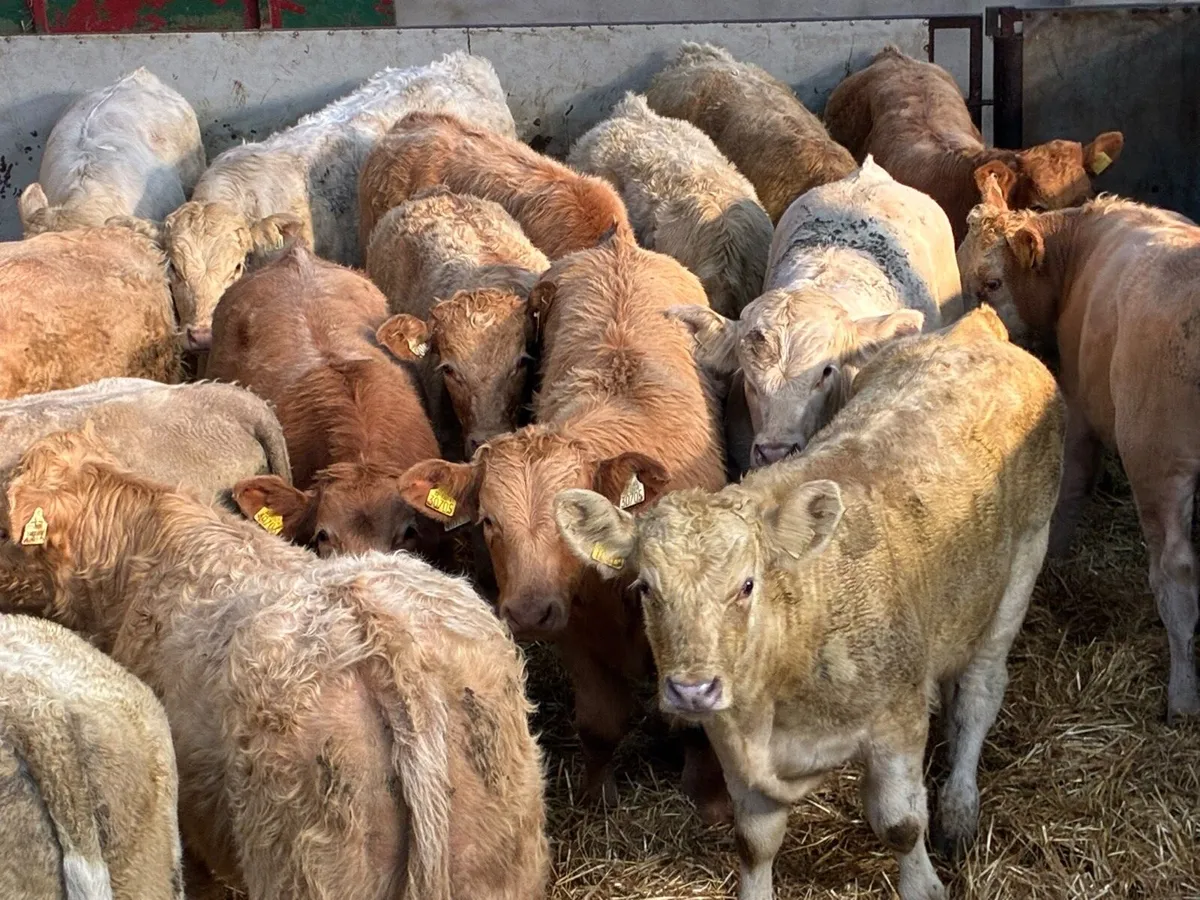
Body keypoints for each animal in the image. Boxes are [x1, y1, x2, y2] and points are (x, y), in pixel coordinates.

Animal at [396, 231, 731, 822]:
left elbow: (697, 728)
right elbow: (599, 725)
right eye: (488, 520)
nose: (529, 611)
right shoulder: (578, 633)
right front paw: (599, 797)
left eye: (574, 520)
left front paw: (709, 804)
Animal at [556, 306, 1065, 900]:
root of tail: (975, 330)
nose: (692, 690)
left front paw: (923, 881)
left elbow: (900, 823)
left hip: (1025, 556)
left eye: (747, 585)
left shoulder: (896, 722)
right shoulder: (734, 747)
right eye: (644, 589)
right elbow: (754, 842)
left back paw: (959, 806)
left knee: (980, 691)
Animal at [958, 181, 1200, 723]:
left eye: (992, 283)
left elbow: (1073, 482)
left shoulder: (1082, 405)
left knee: (1175, 572)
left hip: (1154, 457)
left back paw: (1183, 695)